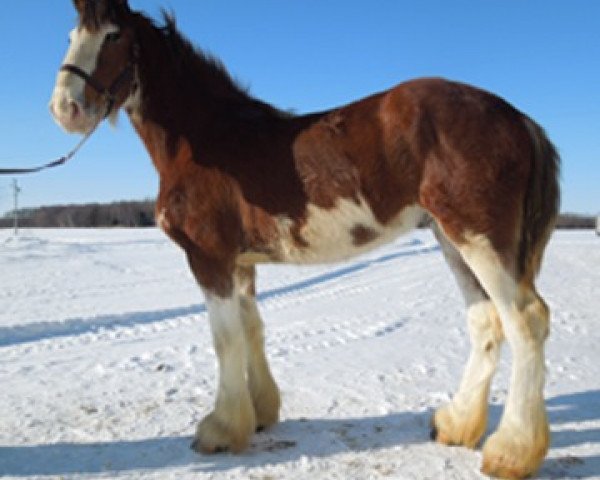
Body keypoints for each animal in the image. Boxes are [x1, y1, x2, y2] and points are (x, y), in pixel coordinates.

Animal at [49, 1, 560, 478]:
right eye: (72, 35)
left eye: (113, 35)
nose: (65, 109)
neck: (210, 141)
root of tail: (518, 118)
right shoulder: (241, 263)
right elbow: (250, 329)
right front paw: (260, 413)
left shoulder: (208, 259)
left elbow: (224, 339)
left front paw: (221, 429)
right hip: (452, 239)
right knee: (486, 321)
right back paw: (456, 425)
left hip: (480, 239)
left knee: (525, 319)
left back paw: (511, 452)